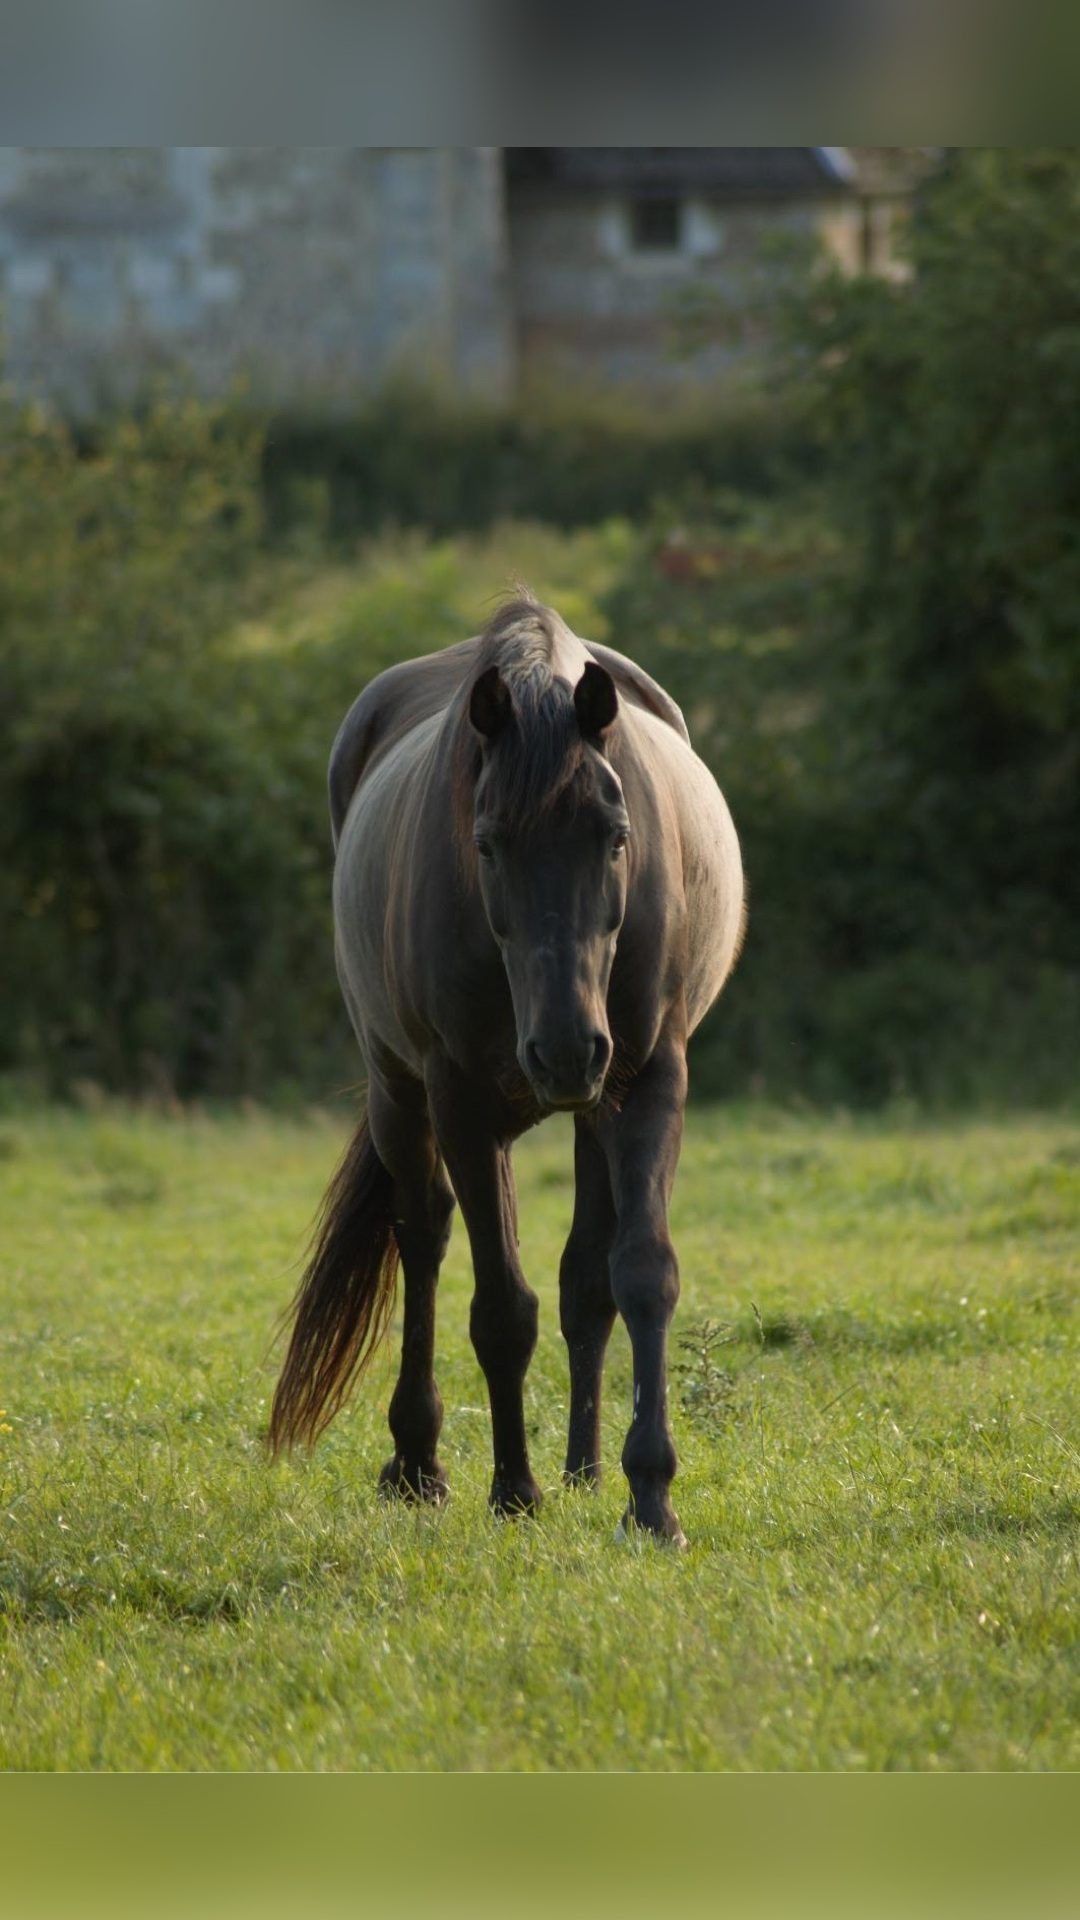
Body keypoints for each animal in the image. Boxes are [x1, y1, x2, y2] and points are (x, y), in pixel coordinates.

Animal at [269, 595, 744, 1544]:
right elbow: (499, 1309)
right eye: (486, 844)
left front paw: (650, 1494)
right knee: (422, 1241)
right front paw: (512, 1490)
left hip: (593, 1106)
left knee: (582, 1281)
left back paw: (585, 1470)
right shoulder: (460, 1099)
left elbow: (640, 1274)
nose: (564, 1049)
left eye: (617, 836)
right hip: (402, 1097)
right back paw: (420, 1463)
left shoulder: (647, 1079)